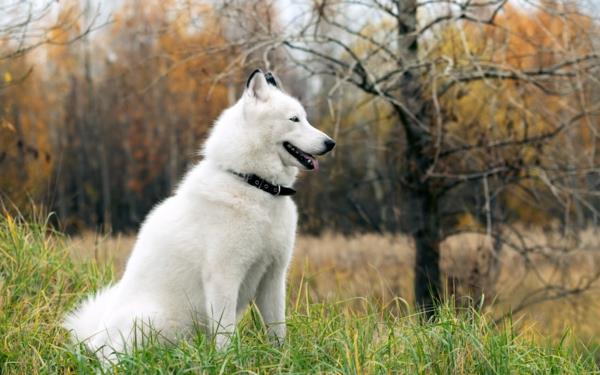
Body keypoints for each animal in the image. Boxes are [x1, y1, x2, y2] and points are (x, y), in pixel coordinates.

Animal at [65, 69, 338, 360]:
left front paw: (280, 360)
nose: (331, 143)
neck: (254, 185)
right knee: (114, 359)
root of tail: (95, 338)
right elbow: (225, 333)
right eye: (294, 119)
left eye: (305, 118)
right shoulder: (223, 277)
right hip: (153, 320)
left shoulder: (273, 276)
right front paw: (227, 362)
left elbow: (277, 330)